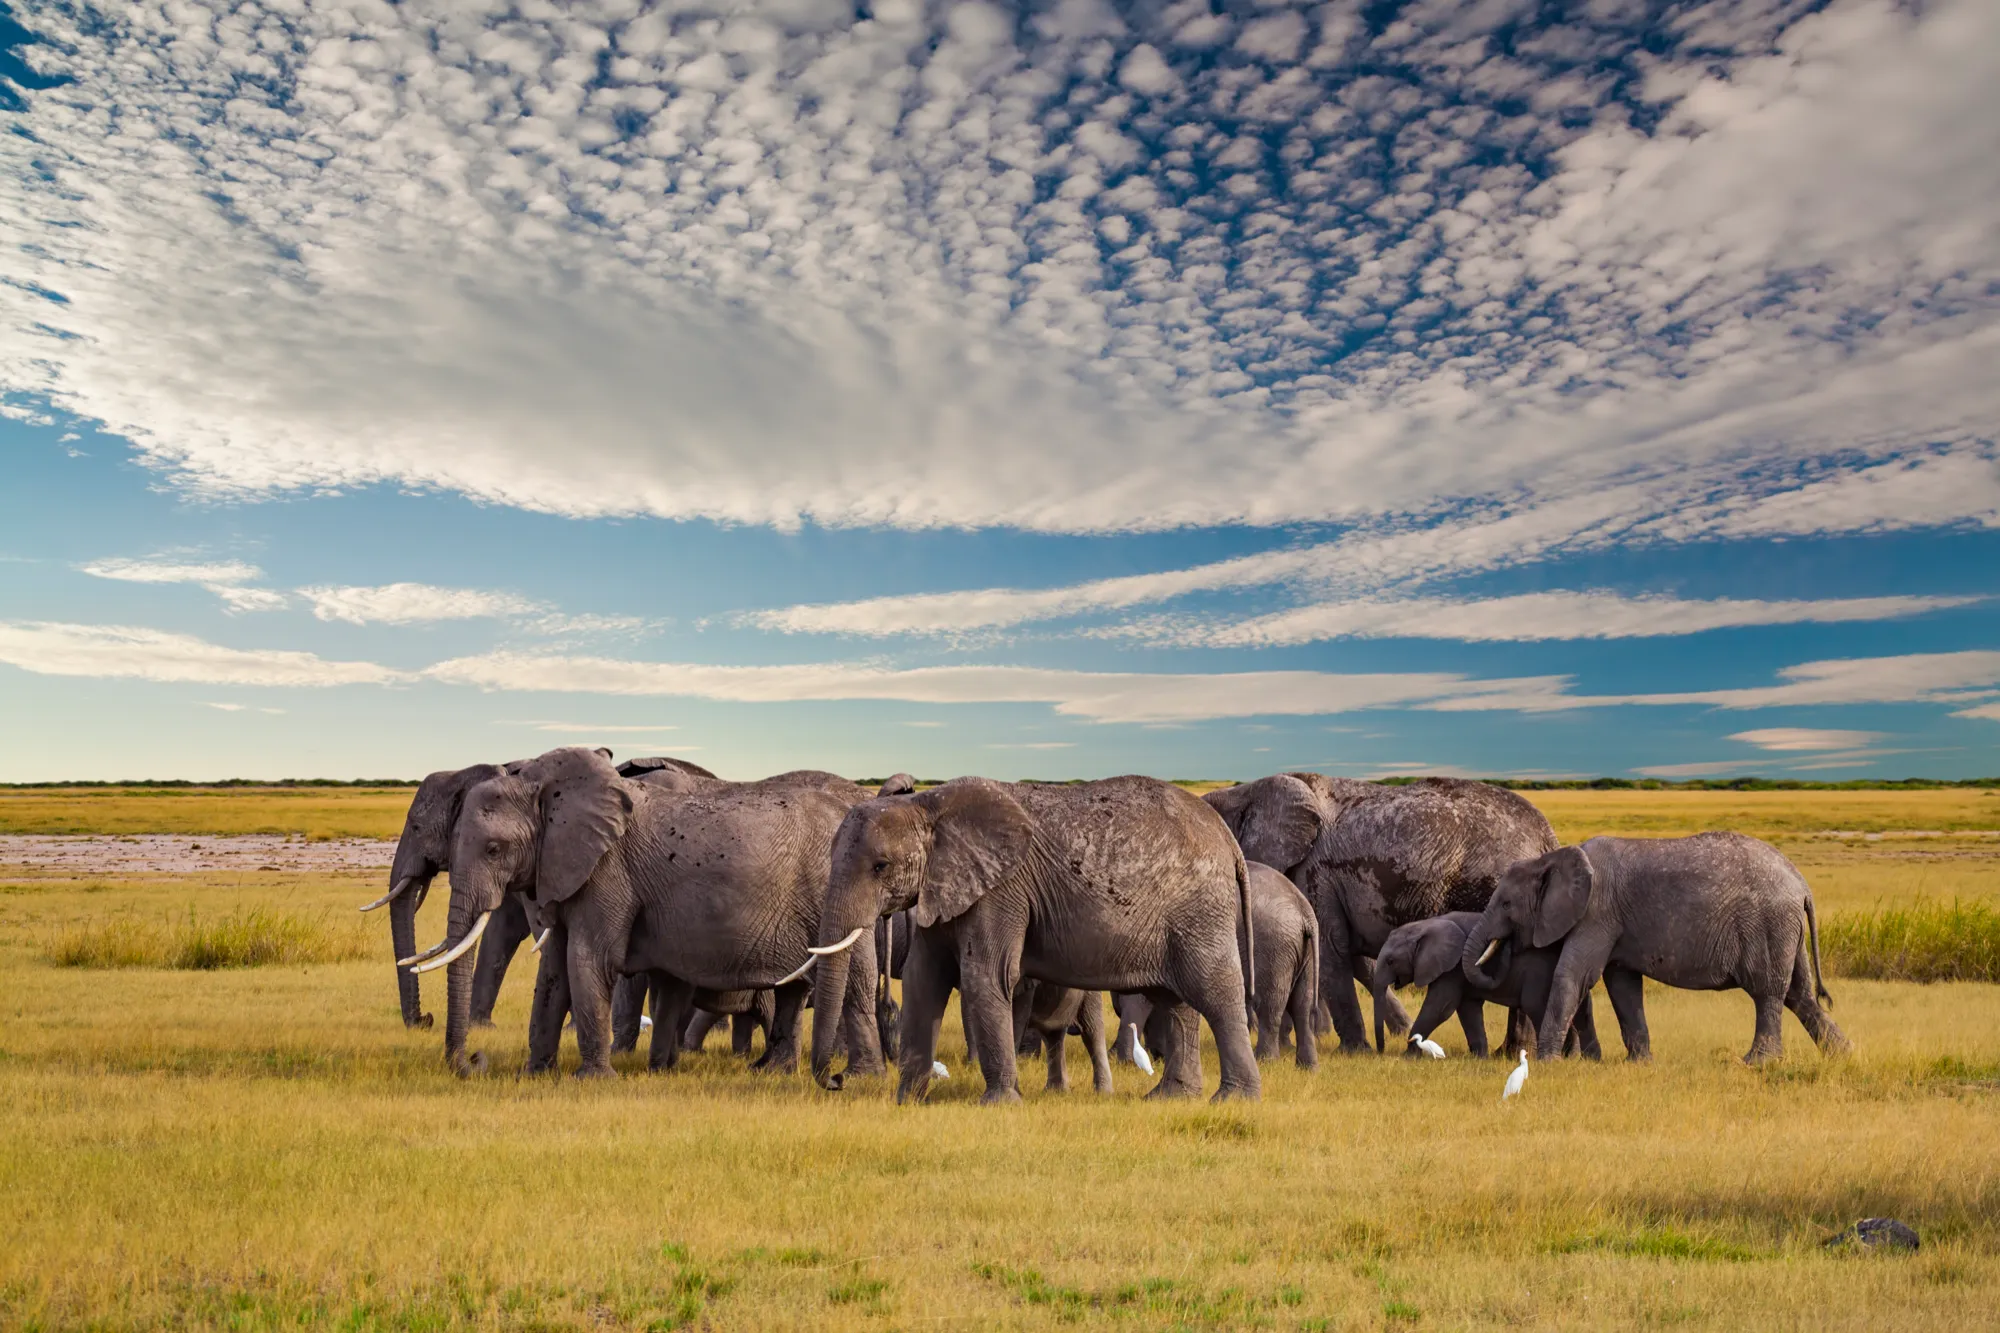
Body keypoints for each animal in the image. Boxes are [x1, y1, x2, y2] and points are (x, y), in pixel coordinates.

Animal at [415, 748, 893, 1078]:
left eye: (494, 850)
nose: (474, 1059)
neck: (543, 785)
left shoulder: (609, 871)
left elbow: (589, 961)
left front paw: (593, 1080)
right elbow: (553, 971)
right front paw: (534, 1075)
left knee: (853, 980)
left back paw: (858, 1079)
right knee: (796, 989)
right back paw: (773, 1072)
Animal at [800, 775, 1260, 1105]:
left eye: (880, 866)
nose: (837, 1080)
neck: (927, 808)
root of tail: (1227, 838)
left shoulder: (1002, 889)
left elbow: (986, 976)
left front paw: (1000, 1104)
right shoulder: (945, 886)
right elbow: (922, 980)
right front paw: (907, 1102)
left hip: (1200, 908)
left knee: (1215, 992)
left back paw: (1233, 1100)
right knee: (1176, 1001)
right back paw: (1171, 1098)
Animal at [1204, 774, 1557, 1054]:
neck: (1248, 790)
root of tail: (1546, 834)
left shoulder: (1317, 873)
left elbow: (1332, 951)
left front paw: (1352, 1052)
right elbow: (1361, 962)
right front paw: (1397, 1033)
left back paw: (1512, 1053)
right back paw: (1510, 1052)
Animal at [1371, 912, 1599, 1058]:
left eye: (1390, 961)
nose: (1380, 1052)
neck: (1425, 925)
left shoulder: (1452, 968)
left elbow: (1440, 1008)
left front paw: (1407, 1056)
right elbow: (1468, 1009)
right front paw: (1480, 1058)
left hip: (1540, 972)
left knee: (1536, 1007)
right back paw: (1571, 1057)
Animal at [1460, 834, 1851, 1065]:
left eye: (1506, 904)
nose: (1504, 946)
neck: (1552, 858)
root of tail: (1801, 884)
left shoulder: (1597, 912)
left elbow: (1574, 976)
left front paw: (1547, 1064)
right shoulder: (1614, 922)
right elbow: (1622, 986)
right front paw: (1639, 1064)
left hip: (1768, 924)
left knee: (1768, 992)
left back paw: (1756, 1063)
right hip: (1786, 929)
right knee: (1800, 995)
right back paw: (1843, 1055)